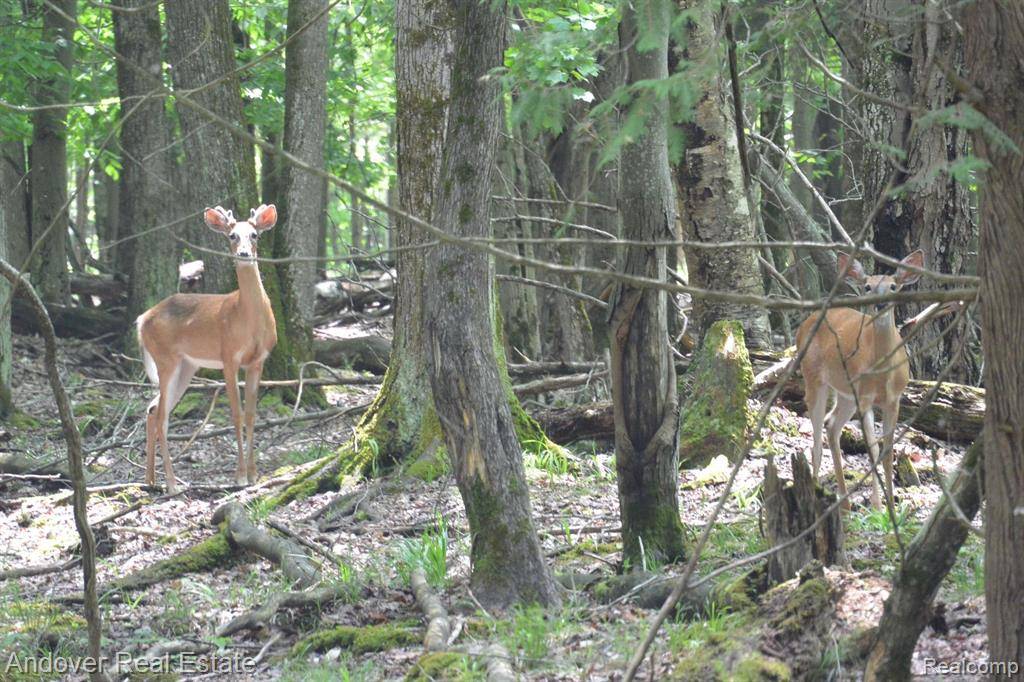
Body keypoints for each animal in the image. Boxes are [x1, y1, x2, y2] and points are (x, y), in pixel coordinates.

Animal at [138, 201, 280, 489]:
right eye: (232, 236)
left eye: (255, 235)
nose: (244, 253)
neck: (247, 319)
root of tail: (142, 319)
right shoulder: (229, 356)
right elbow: (236, 414)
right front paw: (239, 476)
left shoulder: (258, 360)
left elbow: (252, 414)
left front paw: (254, 474)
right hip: (166, 359)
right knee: (162, 416)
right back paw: (172, 483)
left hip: (186, 366)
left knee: (153, 409)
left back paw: (152, 480)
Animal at [794, 246, 925, 507]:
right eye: (867, 287)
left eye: (893, 286)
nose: (880, 303)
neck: (883, 373)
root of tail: (804, 325)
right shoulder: (865, 398)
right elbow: (872, 449)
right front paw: (877, 503)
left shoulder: (894, 399)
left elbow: (887, 451)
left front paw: (891, 502)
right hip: (813, 376)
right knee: (816, 438)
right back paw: (816, 490)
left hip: (846, 393)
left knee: (832, 425)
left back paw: (844, 501)